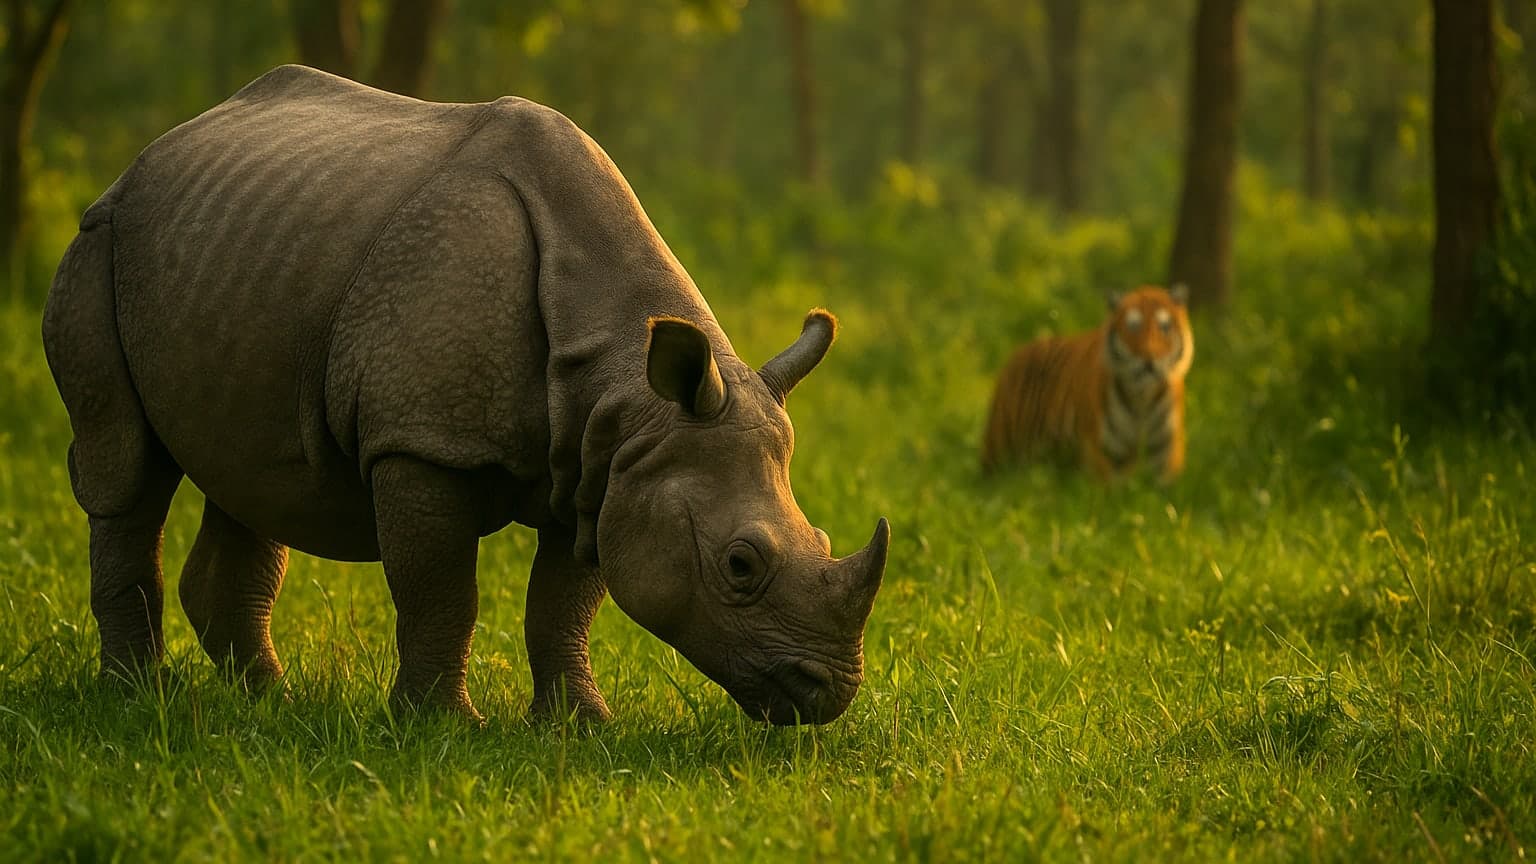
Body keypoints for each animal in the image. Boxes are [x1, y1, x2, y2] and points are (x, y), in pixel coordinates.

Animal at [41, 65, 889, 725]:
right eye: (741, 565)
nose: (826, 694)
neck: (628, 383)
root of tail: (154, 150)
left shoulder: (607, 459)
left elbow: (563, 603)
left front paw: (579, 726)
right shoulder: (425, 443)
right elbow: (442, 590)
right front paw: (442, 727)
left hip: (239, 252)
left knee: (254, 473)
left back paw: (267, 705)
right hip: (99, 239)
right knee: (126, 467)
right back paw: (136, 699)